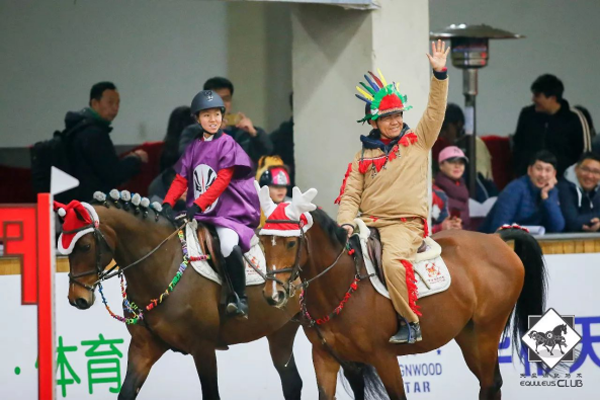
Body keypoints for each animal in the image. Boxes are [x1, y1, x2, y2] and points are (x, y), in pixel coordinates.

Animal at [59, 193, 304, 396]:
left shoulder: (203, 348)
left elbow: (211, 395)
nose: (77, 298)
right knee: (291, 381)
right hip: (281, 330)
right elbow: (126, 392)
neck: (163, 266)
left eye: (85, 247)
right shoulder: (143, 347)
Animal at [255, 202, 548, 398]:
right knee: (489, 384)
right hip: (468, 334)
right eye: (263, 242)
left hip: (487, 331)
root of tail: (496, 239)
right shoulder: (326, 357)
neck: (340, 285)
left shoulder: (383, 357)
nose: (273, 294)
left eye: (291, 243)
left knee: (490, 384)